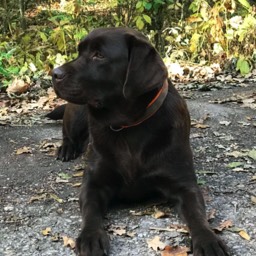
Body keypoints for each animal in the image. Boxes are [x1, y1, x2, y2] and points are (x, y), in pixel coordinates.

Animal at [49, 27, 228, 255]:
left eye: (99, 55)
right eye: (79, 52)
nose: (54, 73)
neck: (128, 125)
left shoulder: (185, 185)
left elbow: (196, 214)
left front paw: (207, 239)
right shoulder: (93, 183)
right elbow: (90, 211)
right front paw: (90, 236)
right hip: (76, 112)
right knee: (67, 132)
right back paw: (66, 149)